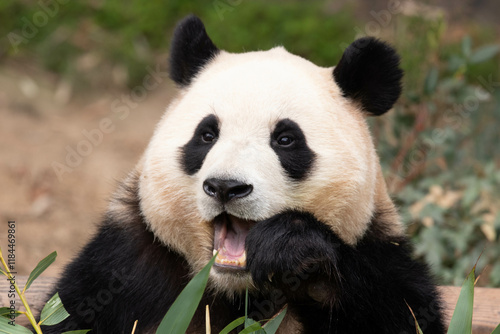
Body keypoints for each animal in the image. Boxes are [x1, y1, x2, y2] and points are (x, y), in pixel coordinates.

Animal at [43, 15, 446, 334]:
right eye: (207, 135)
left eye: (285, 139)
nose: (225, 187)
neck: (237, 288)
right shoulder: (127, 265)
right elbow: (68, 314)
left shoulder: (379, 253)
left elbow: (405, 314)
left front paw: (290, 248)